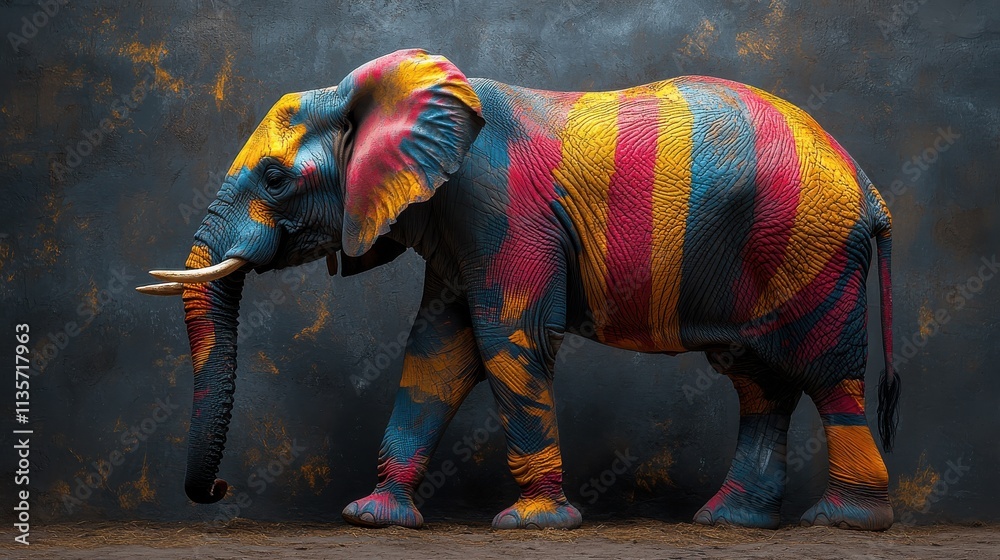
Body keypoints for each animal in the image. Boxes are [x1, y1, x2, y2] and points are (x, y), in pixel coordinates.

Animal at [138, 49, 900, 531]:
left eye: (274, 179)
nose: (219, 489)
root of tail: (872, 190)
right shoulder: (456, 226)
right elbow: (436, 353)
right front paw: (374, 518)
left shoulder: (500, 207)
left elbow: (508, 339)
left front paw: (533, 523)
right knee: (757, 383)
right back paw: (730, 521)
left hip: (814, 251)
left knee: (828, 375)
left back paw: (845, 522)